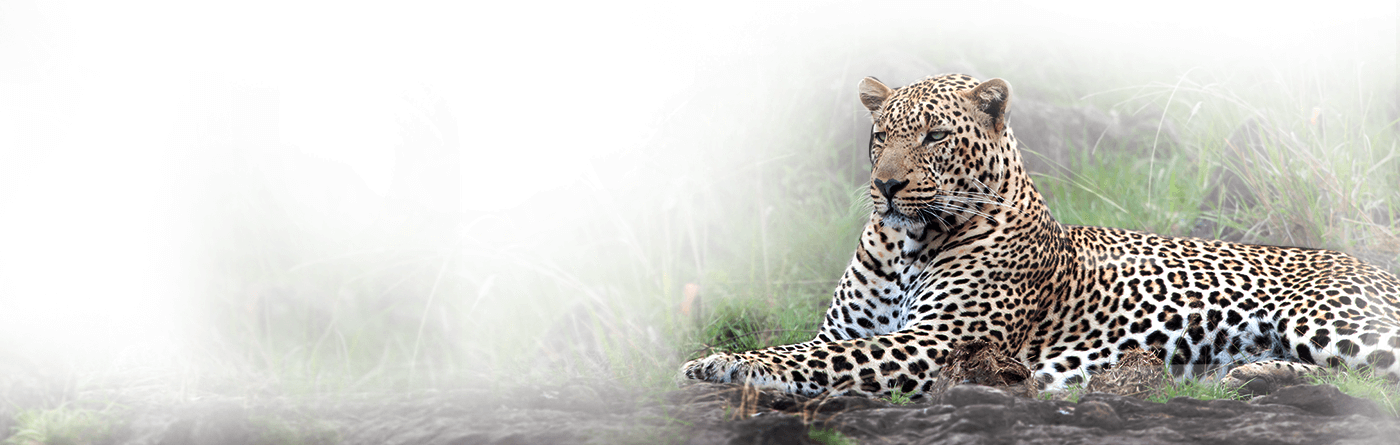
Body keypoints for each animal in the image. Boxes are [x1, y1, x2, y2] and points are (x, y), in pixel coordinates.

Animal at [677, 73, 1400, 400]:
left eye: (934, 136)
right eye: (881, 135)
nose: (885, 185)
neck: (904, 247)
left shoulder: (939, 342)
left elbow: (812, 358)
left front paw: (723, 362)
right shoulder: (847, 328)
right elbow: (818, 348)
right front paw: (719, 359)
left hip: (1325, 316)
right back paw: (1248, 372)